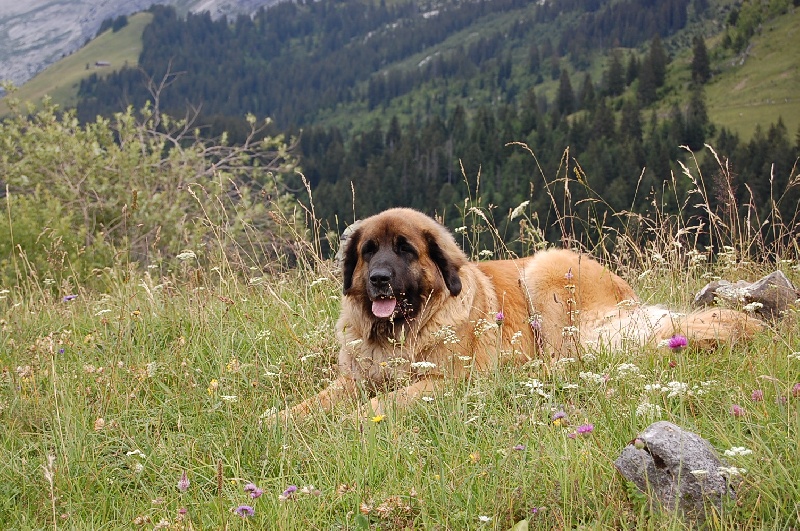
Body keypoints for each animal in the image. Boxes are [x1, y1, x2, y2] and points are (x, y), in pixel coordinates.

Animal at [282, 208, 764, 420]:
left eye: (405, 250)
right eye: (368, 251)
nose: (379, 278)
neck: (399, 332)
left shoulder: (446, 380)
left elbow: (384, 401)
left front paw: (353, 421)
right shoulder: (352, 378)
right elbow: (313, 402)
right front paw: (279, 421)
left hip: (545, 273)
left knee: (569, 357)